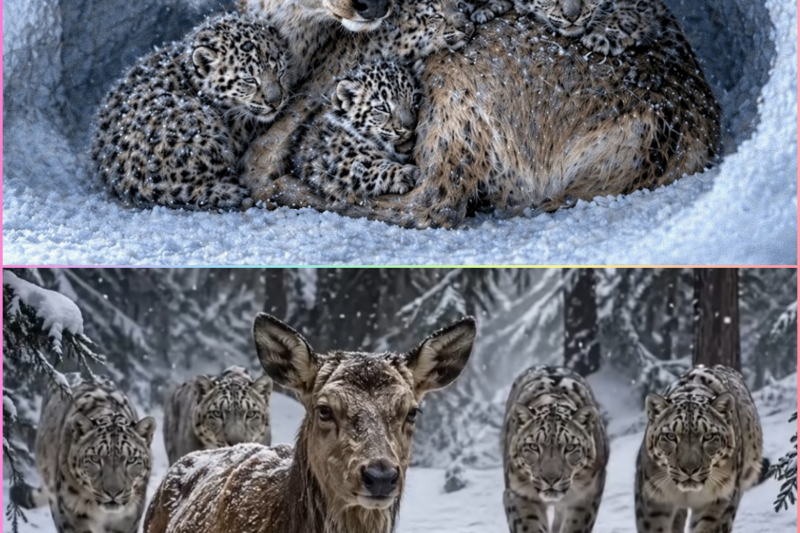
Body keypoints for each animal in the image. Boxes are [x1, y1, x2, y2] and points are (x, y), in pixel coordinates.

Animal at [291, 60, 423, 203]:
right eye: (381, 108)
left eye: (415, 99)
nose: (409, 126)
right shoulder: (336, 162)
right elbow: (364, 169)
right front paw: (406, 173)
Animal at [502, 365, 609, 533]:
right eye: (533, 446)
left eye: (570, 447)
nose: (551, 479)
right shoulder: (518, 494)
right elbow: (528, 525)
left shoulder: (586, 496)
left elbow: (575, 526)